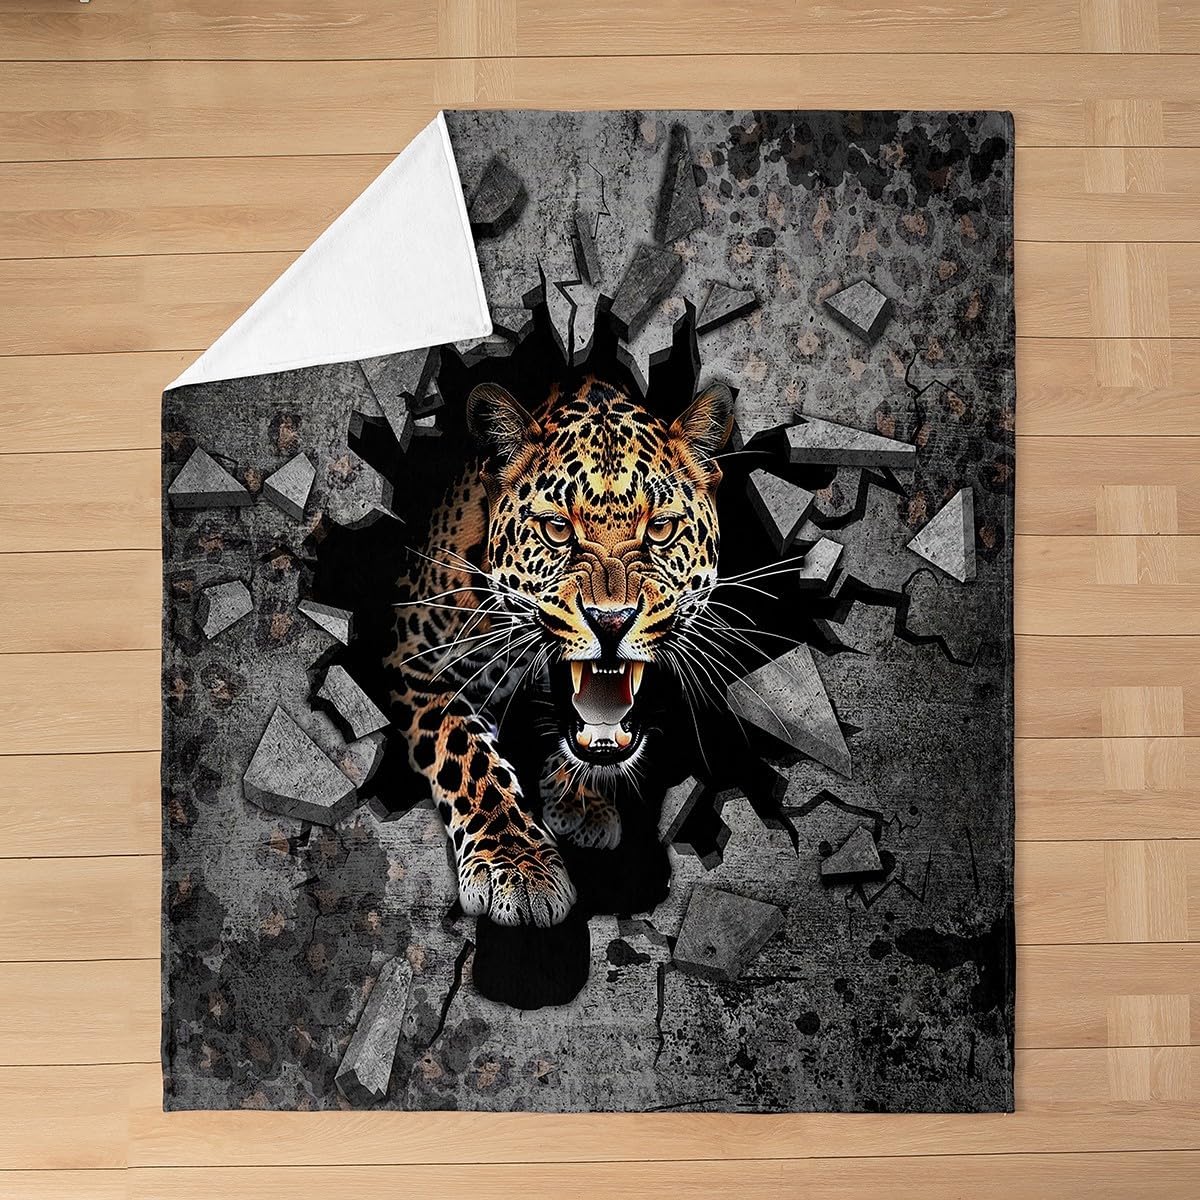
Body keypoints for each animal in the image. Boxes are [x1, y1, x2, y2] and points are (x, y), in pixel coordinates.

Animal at [382, 374, 733, 926]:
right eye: (557, 530)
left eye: (660, 529)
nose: (611, 619)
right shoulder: (414, 662)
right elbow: (466, 752)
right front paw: (516, 864)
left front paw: (581, 802)